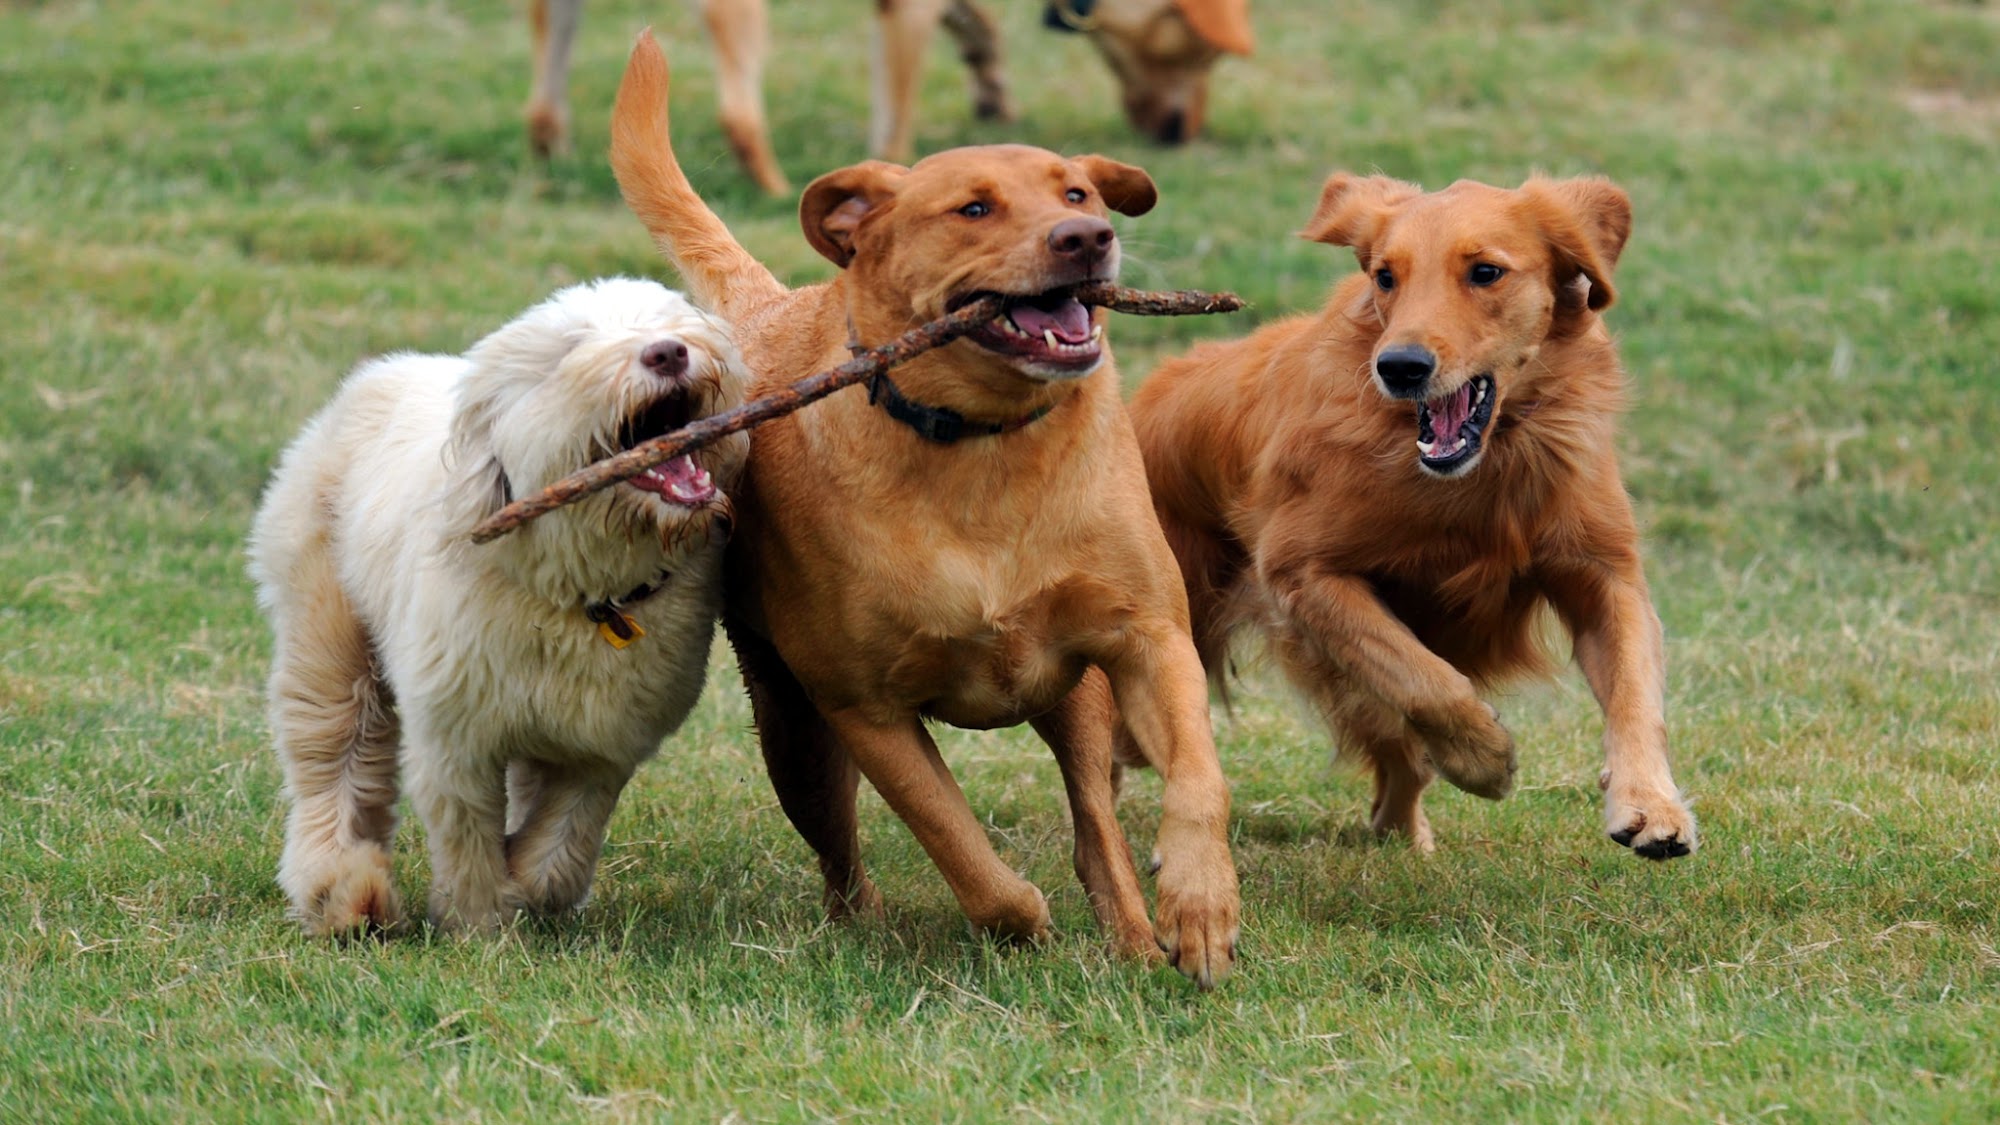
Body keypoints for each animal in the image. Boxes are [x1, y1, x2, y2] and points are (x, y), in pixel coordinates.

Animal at [250, 276, 752, 932]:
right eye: (569, 350)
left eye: (668, 318)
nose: (668, 352)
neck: (585, 597)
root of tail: (381, 371)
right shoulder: (454, 736)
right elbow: (468, 831)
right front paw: (481, 923)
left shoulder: (600, 740)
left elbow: (564, 832)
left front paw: (533, 889)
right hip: (327, 630)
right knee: (334, 757)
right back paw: (344, 893)